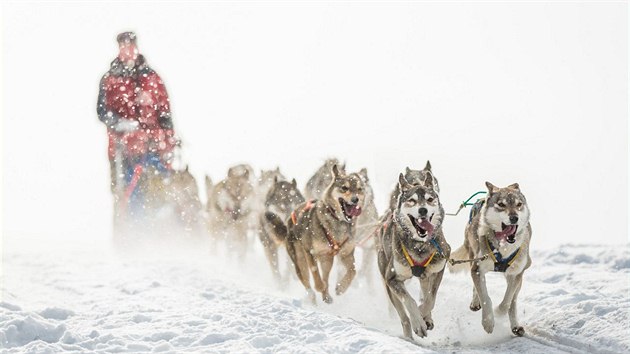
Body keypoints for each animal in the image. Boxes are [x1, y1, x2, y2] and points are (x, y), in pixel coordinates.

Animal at [286, 166, 368, 304]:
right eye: (344, 188)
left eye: (359, 189)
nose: (355, 199)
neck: (338, 221)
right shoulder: (310, 252)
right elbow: (316, 275)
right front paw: (320, 287)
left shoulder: (346, 254)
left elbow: (353, 271)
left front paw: (341, 287)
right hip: (300, 260)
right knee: (308, 283)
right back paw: (313, 298)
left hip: (327, 260)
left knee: (325, 276)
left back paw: (326, 296)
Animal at [378, 173, 452, 338]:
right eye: (412, 200)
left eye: (430, 199)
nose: (423, 210)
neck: (420, 245)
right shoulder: (392, 278)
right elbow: (409, 301)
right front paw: (418, 322)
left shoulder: (438, 269)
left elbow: (430, 299)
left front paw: (423, 315)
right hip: (388, 285)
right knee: (404, 318)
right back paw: (409, 337)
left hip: (425, 276)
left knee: (425, 292)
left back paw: (427, 318)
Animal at [452, 181, 536, 336]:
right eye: (501, 204)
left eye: (519, 204)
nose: (514, 217)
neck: (502, 247)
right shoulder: (477, 268)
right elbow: (485, 297)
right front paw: (488, 322)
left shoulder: (515, 274)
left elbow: (507, 302)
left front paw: (498, 312)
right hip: (472, 257)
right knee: (476, 287)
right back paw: (475, 303)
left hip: (518, 276)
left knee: (513, 302)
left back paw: (515, 326)